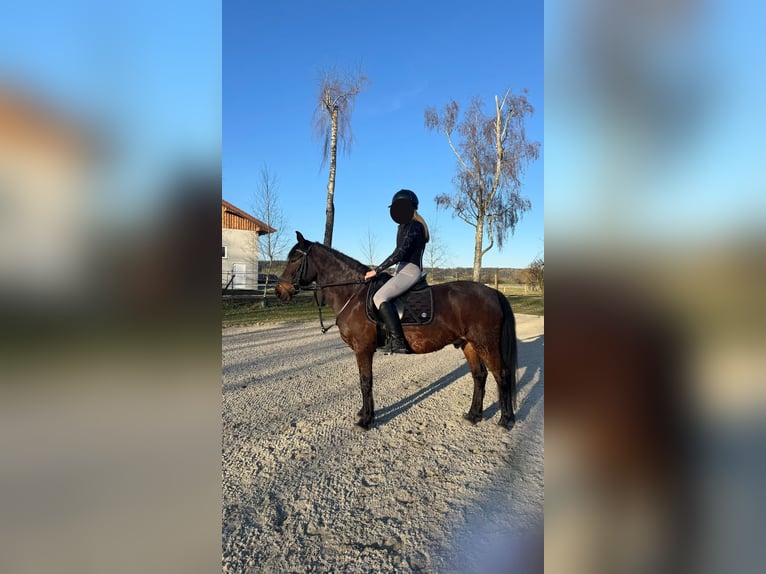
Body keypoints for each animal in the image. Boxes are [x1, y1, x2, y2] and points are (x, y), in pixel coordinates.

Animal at [275, 232, 518, 430]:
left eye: (295, 259)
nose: (280, 291)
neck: (354, 295)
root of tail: (493, 292)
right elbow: (365, 381)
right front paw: (365, 414)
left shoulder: (363, 349)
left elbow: (365, 382)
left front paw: (366, 420)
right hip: (469, 344)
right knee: (479, 375)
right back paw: (473, 415)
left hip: (486, 343)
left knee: (502, 375)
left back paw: (505, 420)